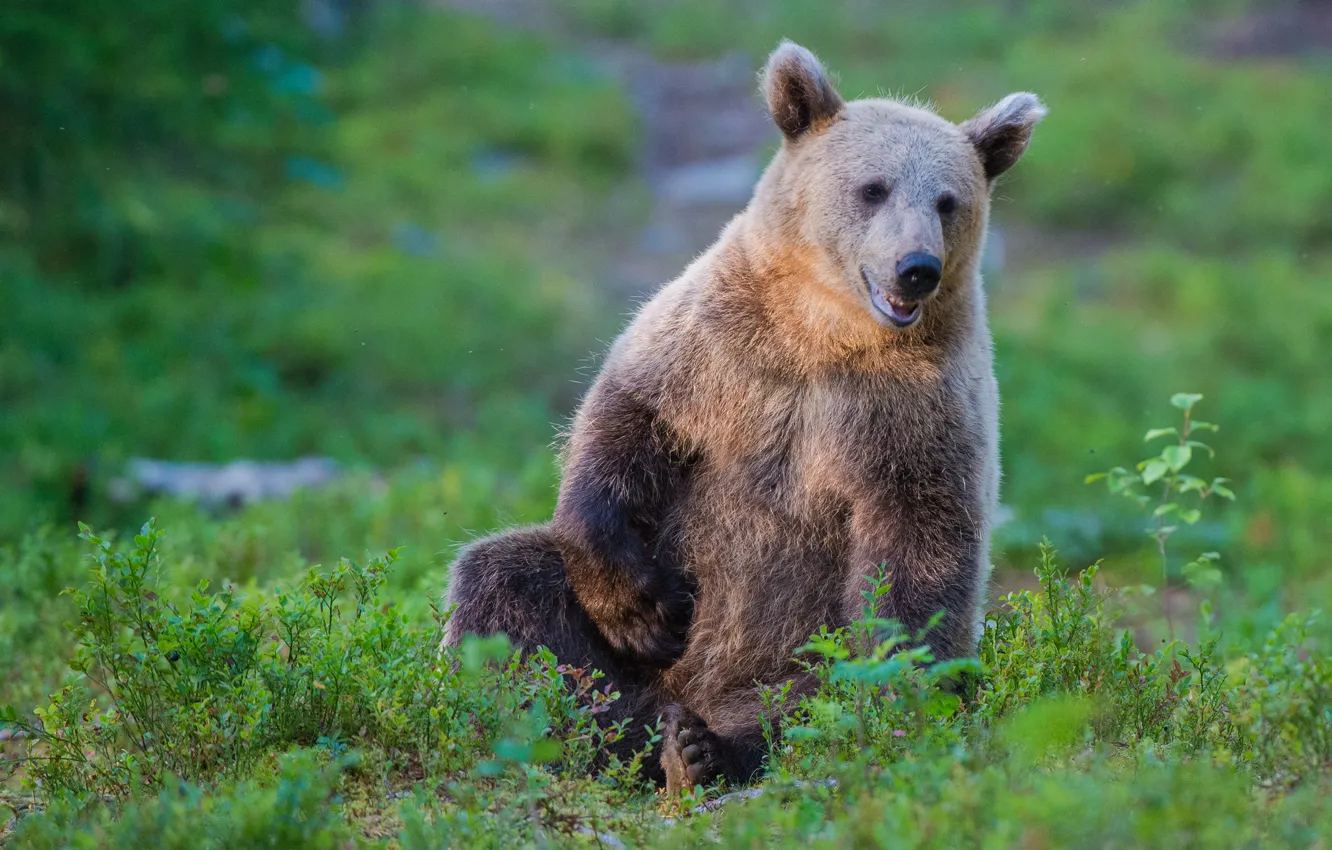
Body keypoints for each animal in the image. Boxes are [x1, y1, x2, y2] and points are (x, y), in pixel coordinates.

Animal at [442, 40, 1045, 792]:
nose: (916, 268)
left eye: (947, 200)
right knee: (504, 591)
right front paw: (640, 609)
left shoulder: (914, 411)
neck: (826, 334)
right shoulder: (720, 352)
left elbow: (921, 546)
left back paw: (705, 750)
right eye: (873, 188)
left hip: (796, 653)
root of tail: (689, 693)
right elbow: (624, 424)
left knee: (809, 705)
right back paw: (573, 737)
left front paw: (894, 684)